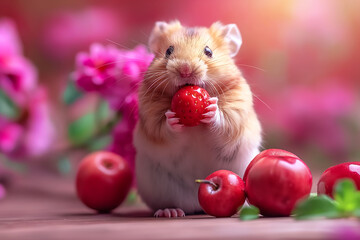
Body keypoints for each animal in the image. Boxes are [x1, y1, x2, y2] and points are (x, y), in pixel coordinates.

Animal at [134, 20, 262, 218]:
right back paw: (170, 212)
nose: (185, 70)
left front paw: (211, 109)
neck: (193, 125)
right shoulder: (152, 119)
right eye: (168, 51)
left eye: (208, 51)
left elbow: (223, 122)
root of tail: (199, 203)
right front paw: (172, 118)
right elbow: (165, 130)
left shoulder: (235, 113)